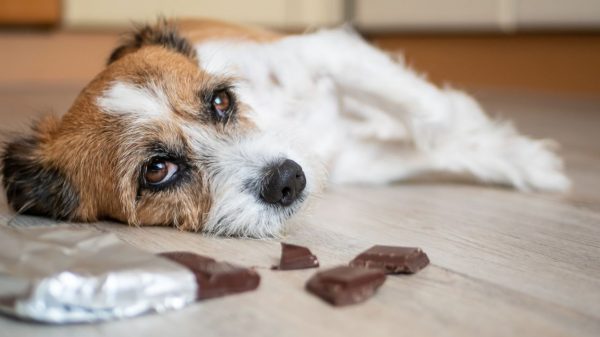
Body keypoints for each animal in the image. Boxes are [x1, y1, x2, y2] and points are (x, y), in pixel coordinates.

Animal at [1, 18, 572, 236]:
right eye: (157, 171)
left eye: (221, 101)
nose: (288, 180)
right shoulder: (359, 162)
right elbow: (432, 143)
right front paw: (518, 157)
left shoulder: (328, 52)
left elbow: (433, 116)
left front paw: (526, 160)